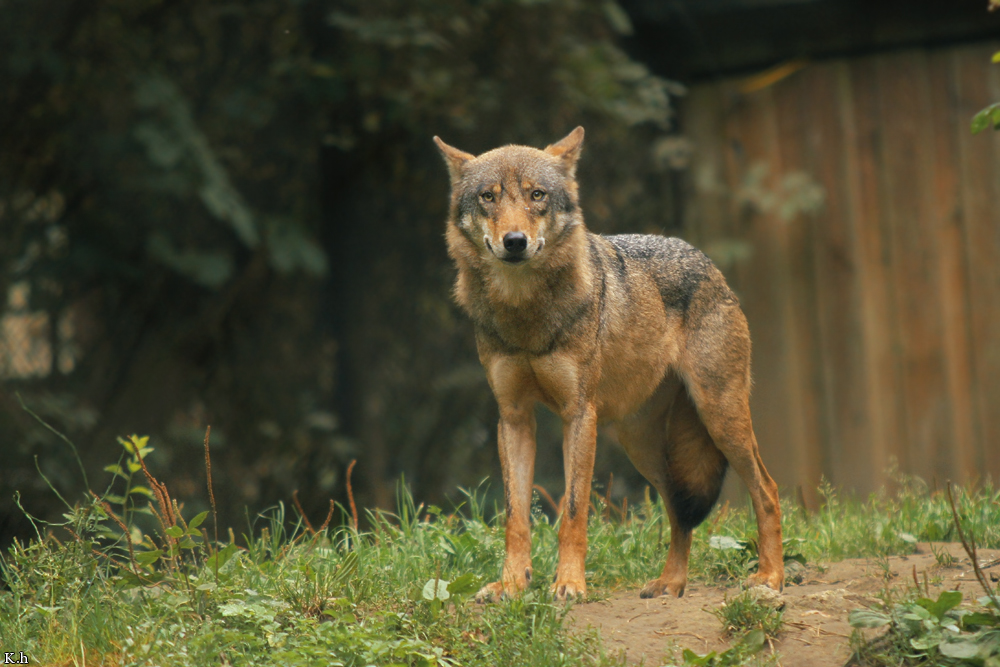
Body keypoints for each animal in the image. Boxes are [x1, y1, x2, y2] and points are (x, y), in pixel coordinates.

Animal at [433, 127, 784, 602]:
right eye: (488, 197)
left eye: (537, 195)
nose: (515, 241)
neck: (525, 315)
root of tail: (707, 262)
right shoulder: (514, 418)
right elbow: (515, 517)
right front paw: (511, 584)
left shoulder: (579, 414)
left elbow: (573, 511)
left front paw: (568, 584)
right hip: (641, 446)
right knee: (680, 511)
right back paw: (671, 583)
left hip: (721, 419)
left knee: (766, 490)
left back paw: (770, 577)